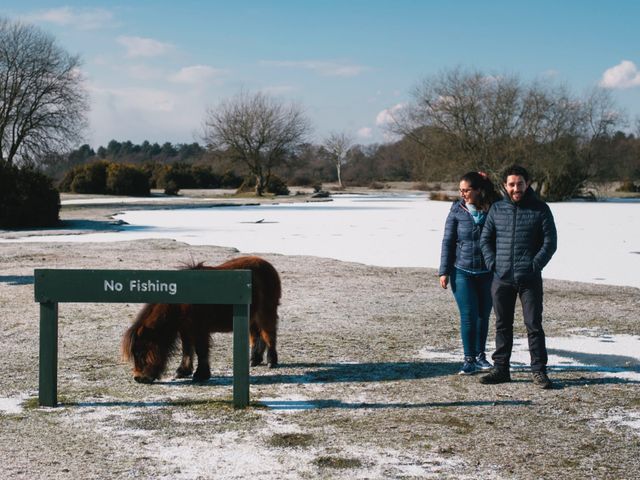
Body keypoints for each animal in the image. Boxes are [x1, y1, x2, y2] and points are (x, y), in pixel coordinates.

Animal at [122, 256, 280, 384]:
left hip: (266, 313)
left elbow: (200, 350)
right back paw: (254, 360)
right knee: (257, 337)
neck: (180, 304)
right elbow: (187, 349)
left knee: (269, 335)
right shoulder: (185, 329)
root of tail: (268, 266)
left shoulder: (199, 329)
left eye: (141, 352)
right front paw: (183, 371)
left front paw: (200, 375)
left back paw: (271, 361)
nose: (138, 378)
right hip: (251, 318)